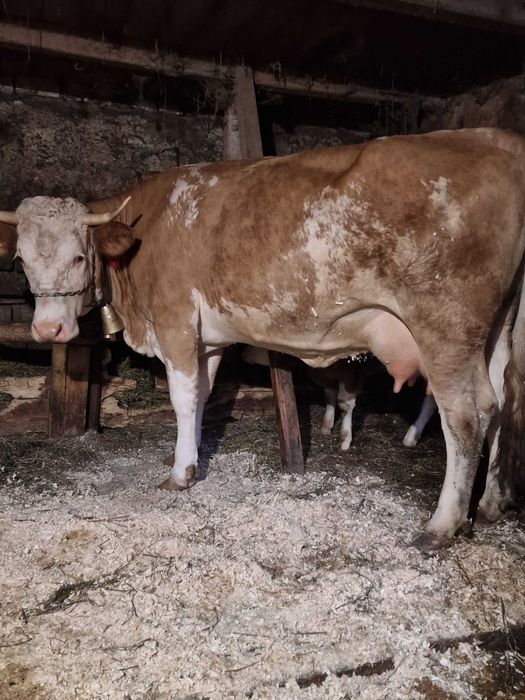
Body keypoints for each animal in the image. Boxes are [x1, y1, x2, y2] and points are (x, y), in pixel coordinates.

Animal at [241, 345, 438, 449]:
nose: (245, 354)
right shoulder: (326, 375)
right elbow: (329, 397)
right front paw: (326, 425)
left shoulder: (350, 374)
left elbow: (346, 405)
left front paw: (345, 438)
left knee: (432, 403)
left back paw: (412, 436)